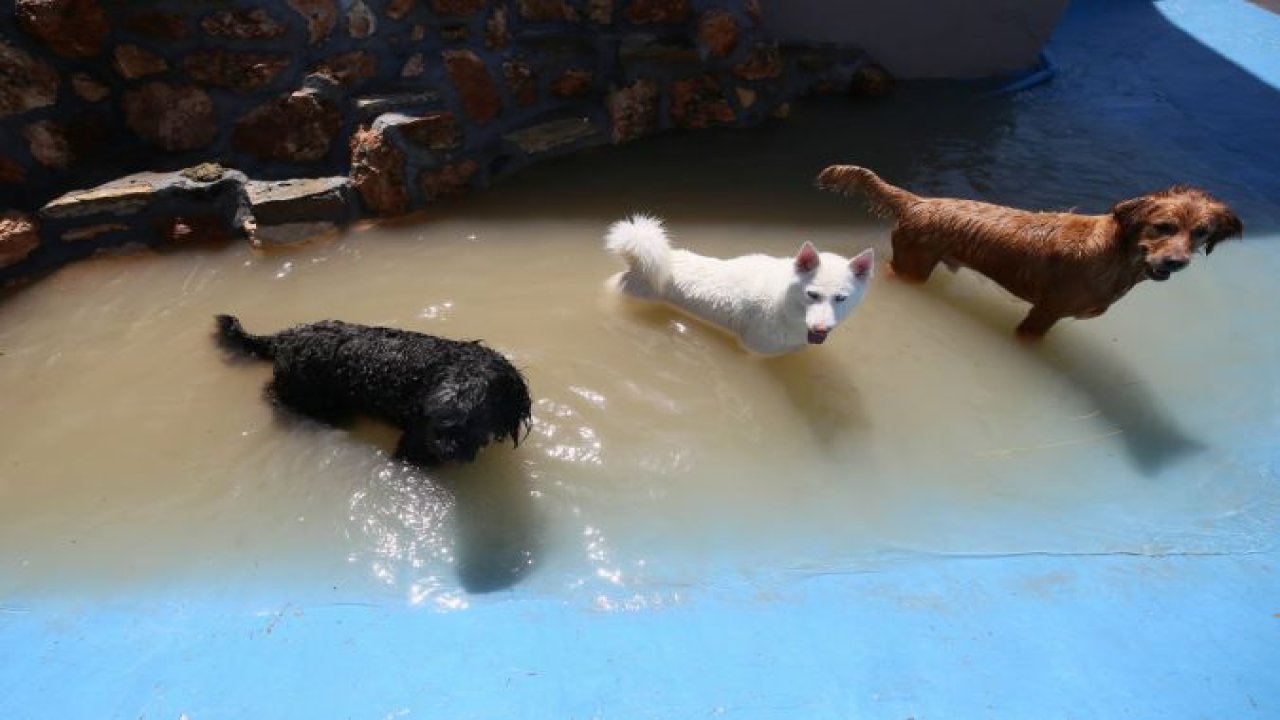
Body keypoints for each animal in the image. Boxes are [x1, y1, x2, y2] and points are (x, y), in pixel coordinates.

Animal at [604, 215, 875, 356]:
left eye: (841, 298)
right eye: (812, 294)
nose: (821, 329)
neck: (783, 303)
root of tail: (639, 262)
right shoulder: (755, 352)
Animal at [814, 163, 1244, 338]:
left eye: (1201, 233)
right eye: (1164, 226)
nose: (1176, 261)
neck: (1116, 254)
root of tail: (917, 202)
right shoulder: (1043, 314)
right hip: (911, 265)